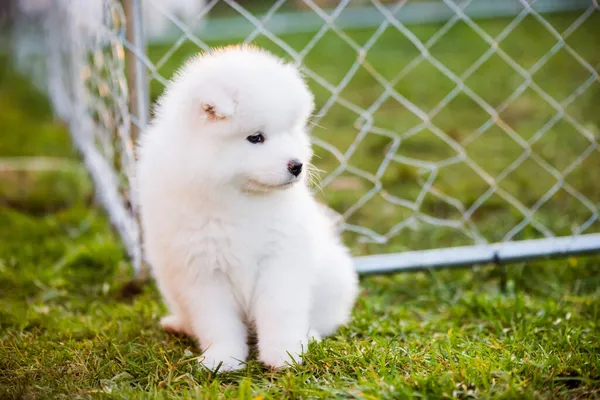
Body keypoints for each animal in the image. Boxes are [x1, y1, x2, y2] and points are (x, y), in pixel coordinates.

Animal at [138, 44, 358, 372]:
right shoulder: (204, 270)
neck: (241, 199)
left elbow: (280, 312)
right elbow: (218, 323)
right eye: (255, 138)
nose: (297, 165)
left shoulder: (279, 261)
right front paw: (222, 359)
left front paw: (283, 355)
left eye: (290, 131)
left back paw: (311, 336)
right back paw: (178, 324)